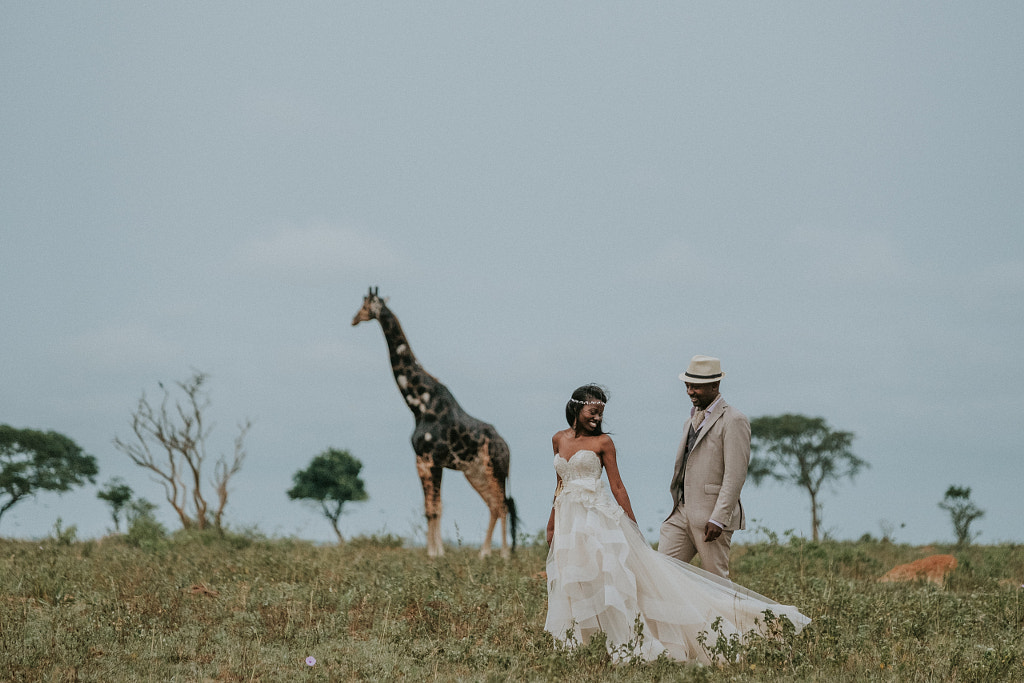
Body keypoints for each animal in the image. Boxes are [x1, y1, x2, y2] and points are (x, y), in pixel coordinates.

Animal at [354, 286, 516, 557]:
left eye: (366, 305)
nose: (354, 319)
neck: (419, 404)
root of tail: (507, 448)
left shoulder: (428, 459)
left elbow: (432, 509)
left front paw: (434, 553)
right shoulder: (429, 461)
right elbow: (433, 508)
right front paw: (437, 552)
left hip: (495, 470)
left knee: (501, 505)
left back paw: (499, 554)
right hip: (475, 472)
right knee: (494, 505)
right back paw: (485, 553)